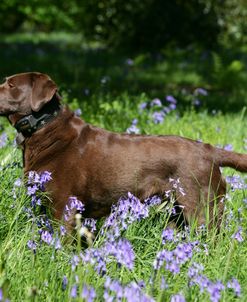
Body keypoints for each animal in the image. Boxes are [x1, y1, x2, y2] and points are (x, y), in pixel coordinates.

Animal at [0, 72, 247, 229]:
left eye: (11, 85)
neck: (44, 126)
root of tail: (210, 150)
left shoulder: (64, 206)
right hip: (178, 214)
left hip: (200, 207)